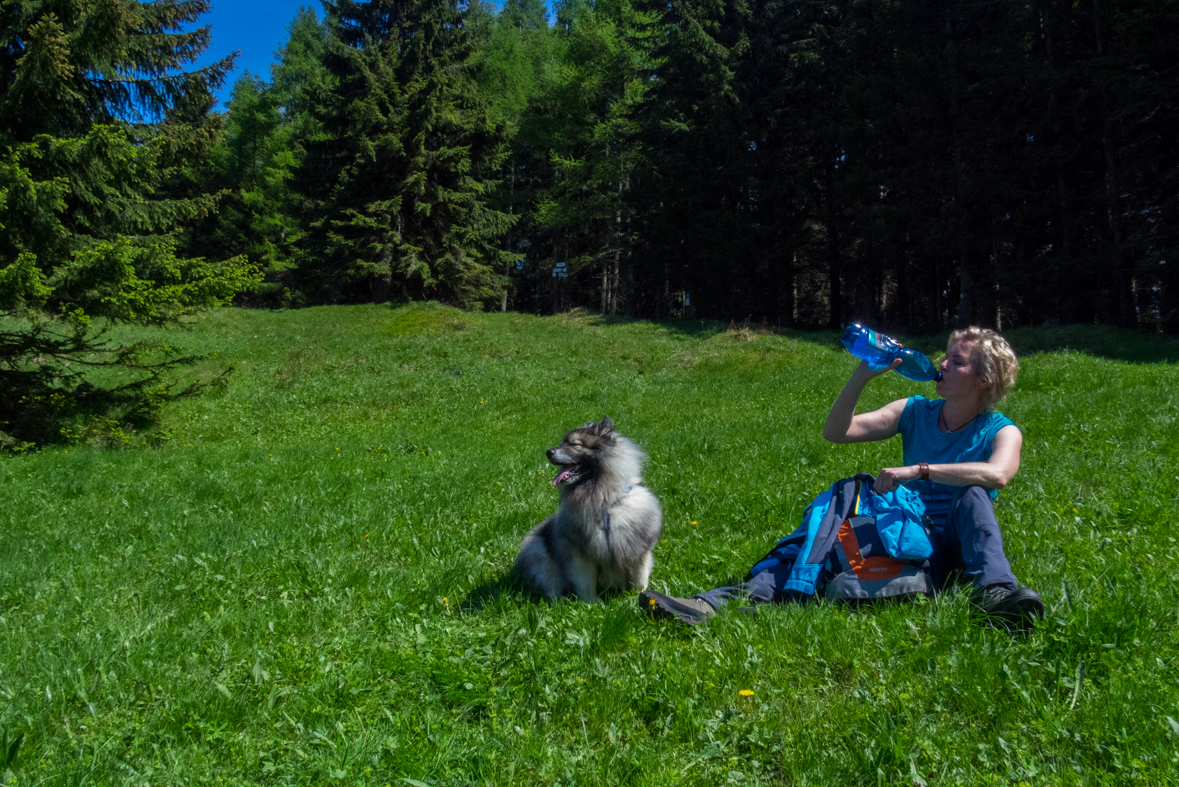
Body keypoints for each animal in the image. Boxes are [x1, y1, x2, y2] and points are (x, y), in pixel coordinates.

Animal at [516, 417, 664, 603]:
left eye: (575, 444)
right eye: (561, 443)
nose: (548, 452)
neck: (603, 502)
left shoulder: (638, 551)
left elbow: (639, 579)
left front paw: (638, 597)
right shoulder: (580, 555)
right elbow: (586, 581)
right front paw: (591, 602)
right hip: (543, 560)